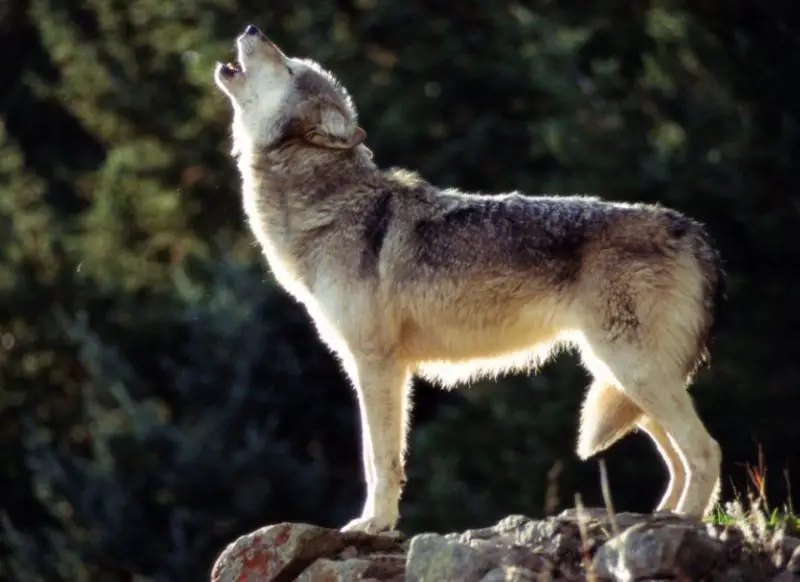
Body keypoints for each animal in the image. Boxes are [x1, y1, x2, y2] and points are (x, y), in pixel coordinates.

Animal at [213, 24, 726, 534]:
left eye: (287, 66)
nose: (252, 28)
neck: (332, 207)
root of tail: (696, 231)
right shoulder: (376, 365)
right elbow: (381, 458)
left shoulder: (377, 365)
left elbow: (379, 460)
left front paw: (375, 524)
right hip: (621, 378)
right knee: (679, 458)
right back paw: (662, 517)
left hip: (633, 370)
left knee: (706, 450)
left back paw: (685, 521)